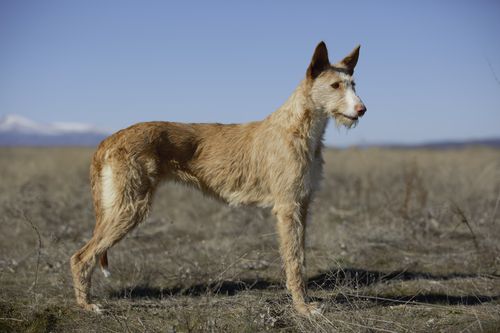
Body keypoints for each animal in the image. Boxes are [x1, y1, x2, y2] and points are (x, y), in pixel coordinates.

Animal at [70, 41, 366, 314]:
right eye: (335, 85)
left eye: (353, 84)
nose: (362, 109)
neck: (298, 128)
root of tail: (108, 140)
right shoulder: (287, 207)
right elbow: (293, 261)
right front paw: (302, 308)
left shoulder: (302, 205)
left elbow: (300, 257)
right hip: (129, 207)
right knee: (80, 257)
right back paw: (86, 305)